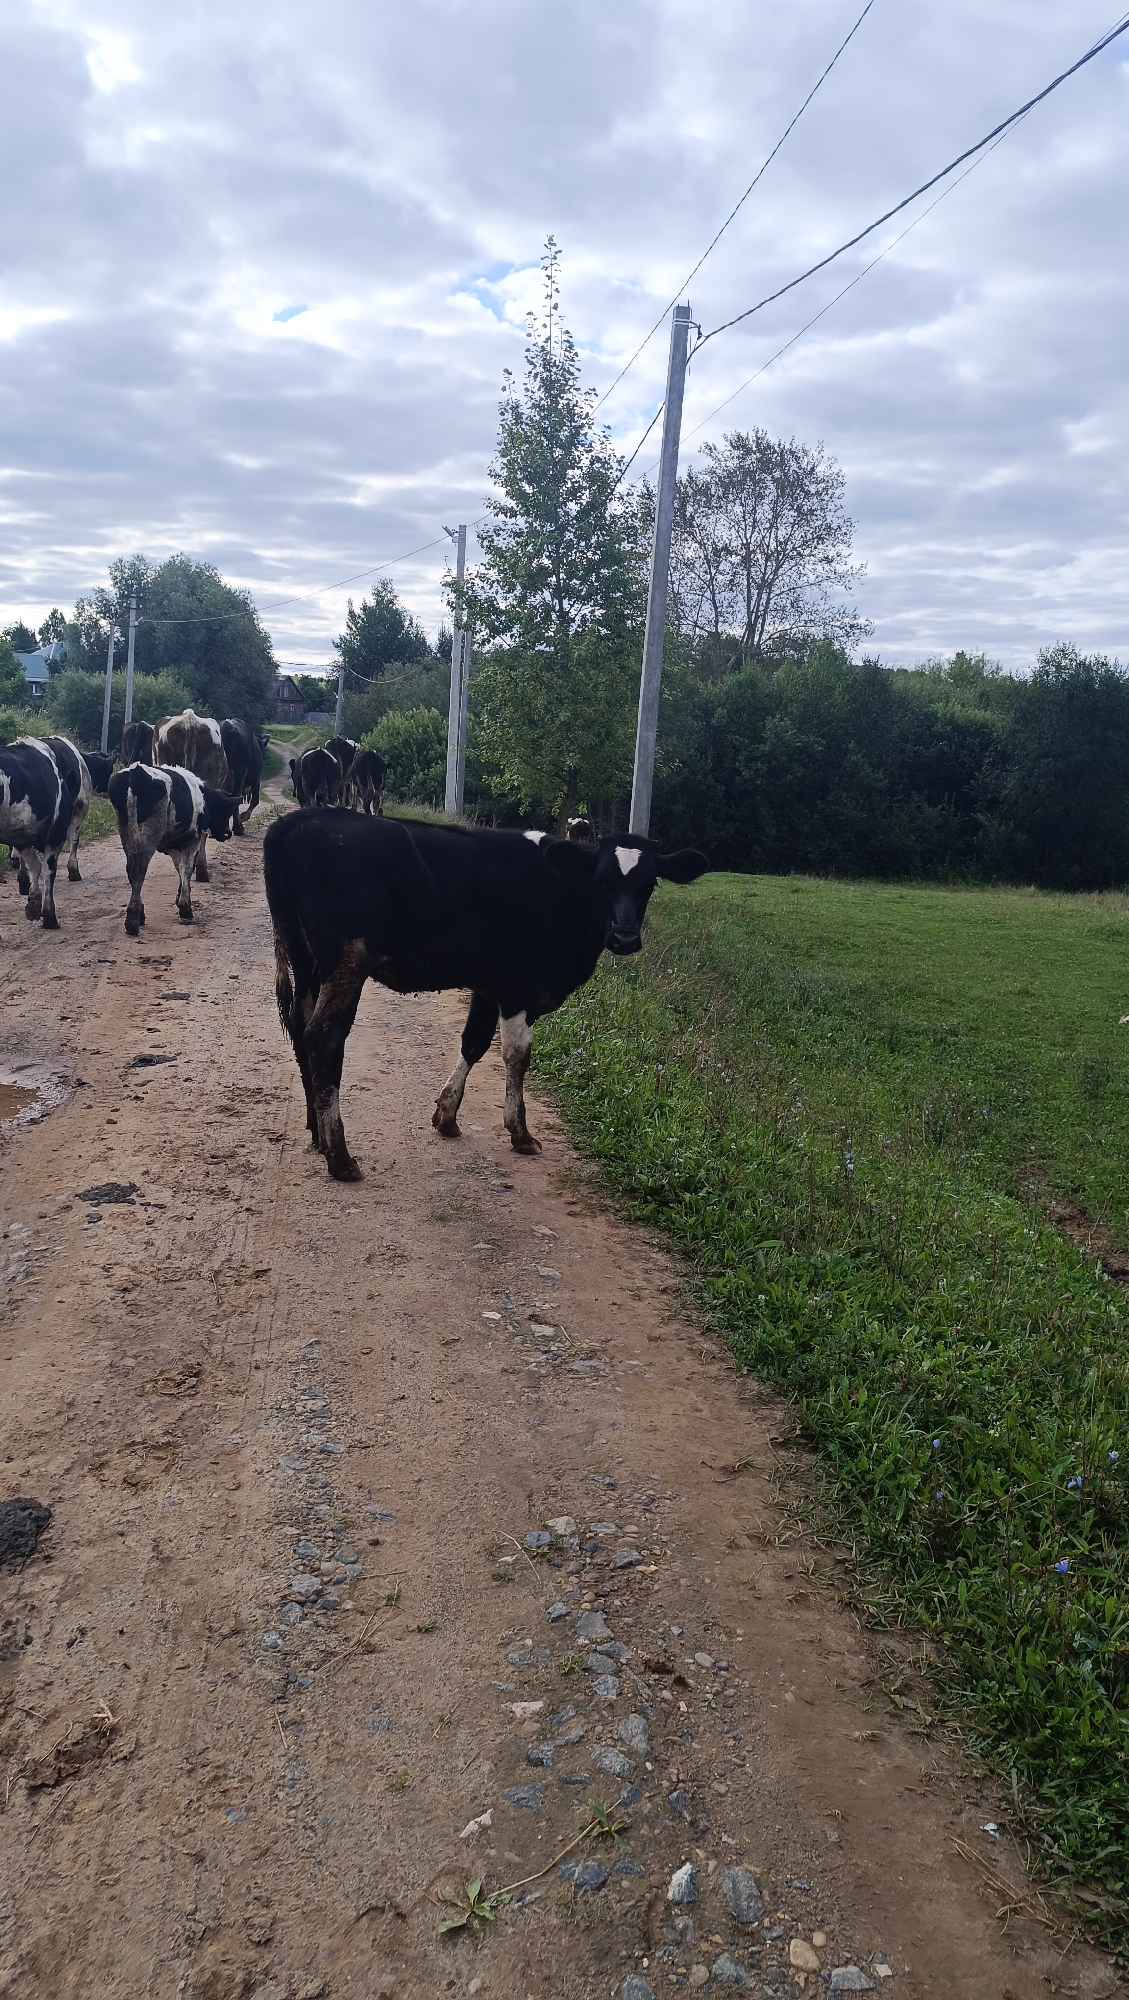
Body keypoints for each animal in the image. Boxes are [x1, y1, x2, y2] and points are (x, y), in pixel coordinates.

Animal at [0, 738, 71, 928]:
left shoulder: (21, 836)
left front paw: (33, 904)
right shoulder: (57, 833)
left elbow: (34, 865)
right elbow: (48, 869)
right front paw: (49, 916)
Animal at [108, 763, 241, 936]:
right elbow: (186, 868)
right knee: (139, 871)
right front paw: (185, 906)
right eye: (226, 810)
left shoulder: (172, 845)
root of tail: (136, 771)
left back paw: (139, 914)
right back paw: (132, 921)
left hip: (126, 834)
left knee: (131, 870)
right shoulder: (192, 838)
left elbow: (179, 868)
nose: (227, 833)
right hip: (149, 835)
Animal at [263, 812, 708, 1182]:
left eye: (649, 884)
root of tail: (297, 820)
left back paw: (317, 1134)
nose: (625, 938)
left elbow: (474, 1043)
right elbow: (516, 1056)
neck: (560, 893)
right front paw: (520, 1133)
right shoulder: (518, 987)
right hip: (346, 961)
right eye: (601, 882)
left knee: (301, 1029)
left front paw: (446, 1115)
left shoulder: (488, 985)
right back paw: (339, 1156)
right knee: (324, 1037)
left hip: (306, 960)